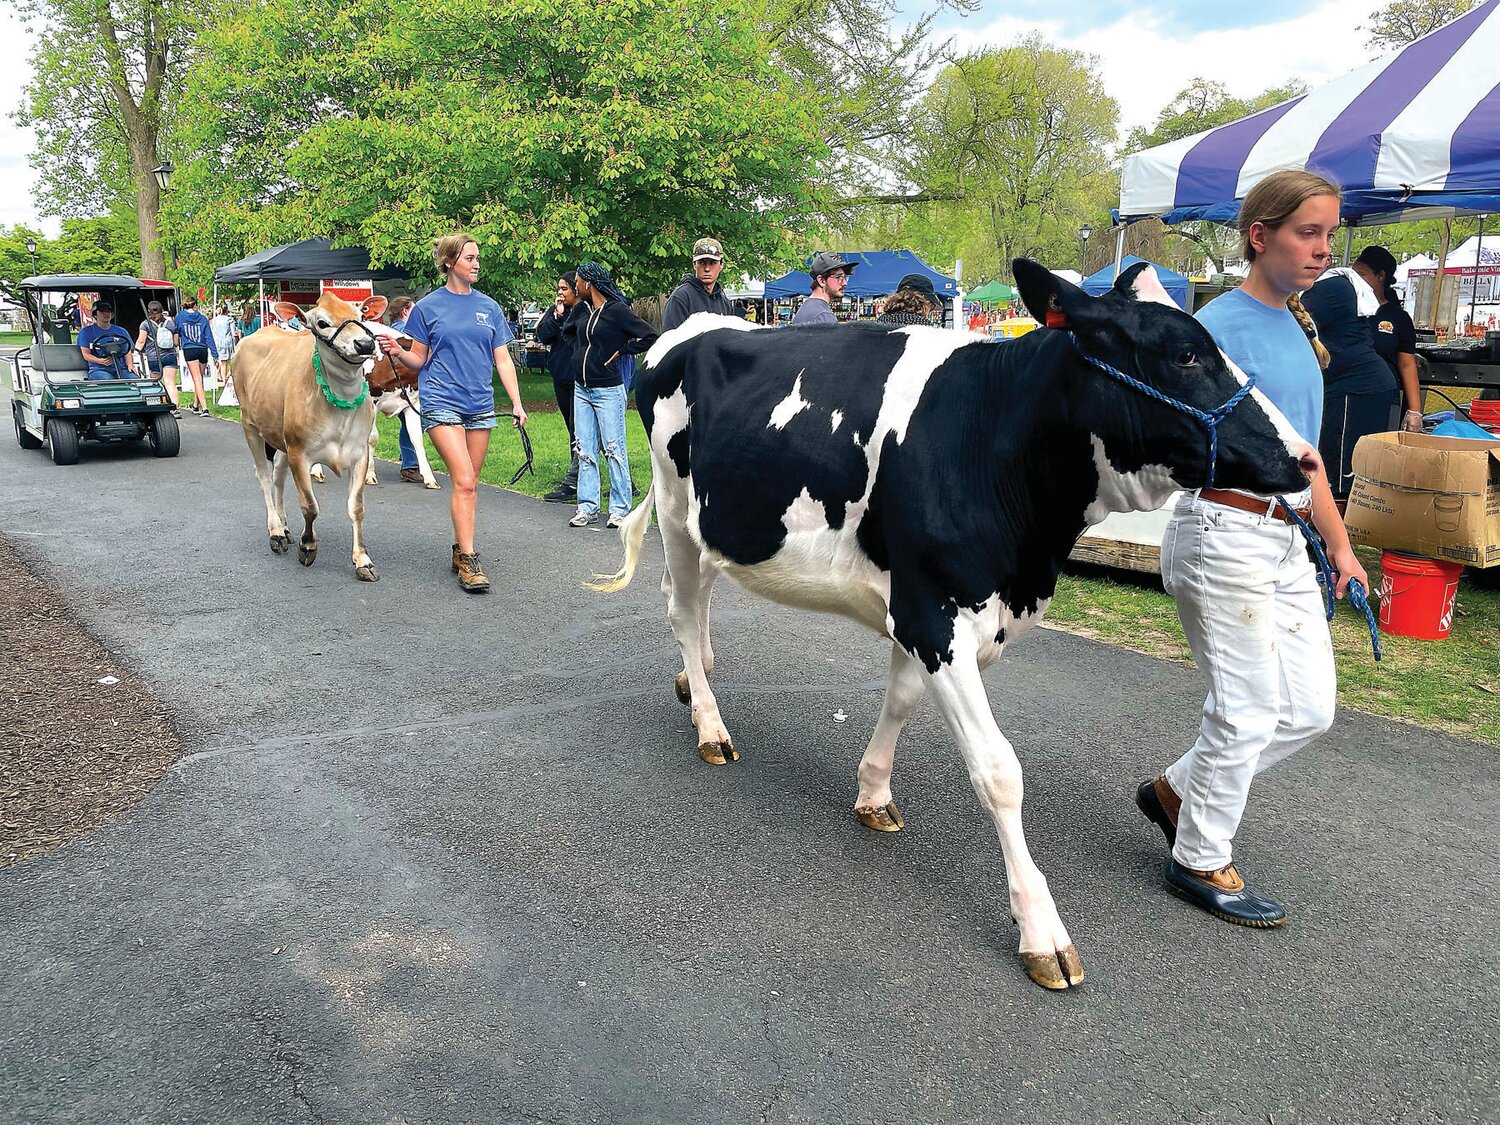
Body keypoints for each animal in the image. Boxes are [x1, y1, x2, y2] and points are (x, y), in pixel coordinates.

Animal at [591, 259, 1320, 990]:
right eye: (1186, 354)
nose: (1308, 460)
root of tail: (688, 327)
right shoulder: (932, 612)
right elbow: (998, 771)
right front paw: (1041, 930)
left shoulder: (921, 606)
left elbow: (900, 700)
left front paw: (873, 791)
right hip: (677, 508)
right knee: (682, 607)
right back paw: (710, 724)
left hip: (716, 521)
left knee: (695, 599)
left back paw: (696, 682)